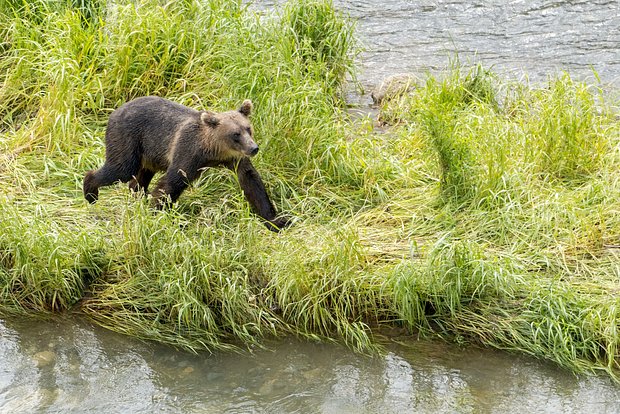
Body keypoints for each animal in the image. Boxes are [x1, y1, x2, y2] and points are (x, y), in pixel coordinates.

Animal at [83, 97, 294, 233]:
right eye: (236, 134)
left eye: (248, 128)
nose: (253, 148)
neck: (213, 151)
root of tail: (115, 110)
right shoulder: (188, 151)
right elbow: (172, 182)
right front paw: (158, 214)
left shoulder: (235, 159)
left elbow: (252, 182)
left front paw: (278, 221)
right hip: (129, 137)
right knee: (121, 168)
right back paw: (90, 192)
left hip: (149, 151)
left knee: (140, 176)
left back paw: (138, 195)